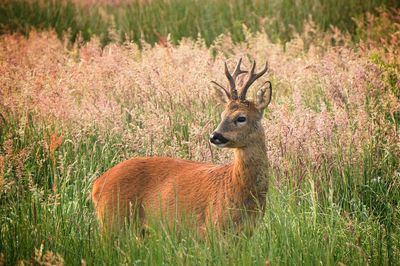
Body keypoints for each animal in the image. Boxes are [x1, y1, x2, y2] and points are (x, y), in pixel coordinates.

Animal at [91, 59, 272, 234]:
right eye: (222, 114)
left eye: (241, 118)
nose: (215, 136)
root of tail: (97, 184)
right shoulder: (211, 228)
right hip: (113, 221)